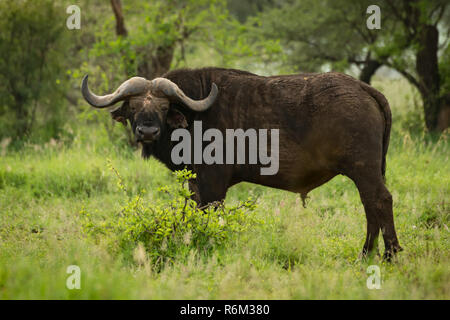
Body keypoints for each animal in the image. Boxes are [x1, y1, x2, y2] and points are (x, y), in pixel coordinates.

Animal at [82, 67, 402, 260]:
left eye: (163, 106)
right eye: (134, 106)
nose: (147, 131)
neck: (195, 116)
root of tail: (364, 89)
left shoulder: (213, 184)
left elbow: (211, 214)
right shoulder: (195, 182)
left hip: (364, 169)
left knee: (380, 201)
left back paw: (389, 253)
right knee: (370, 205)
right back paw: (367, 254)